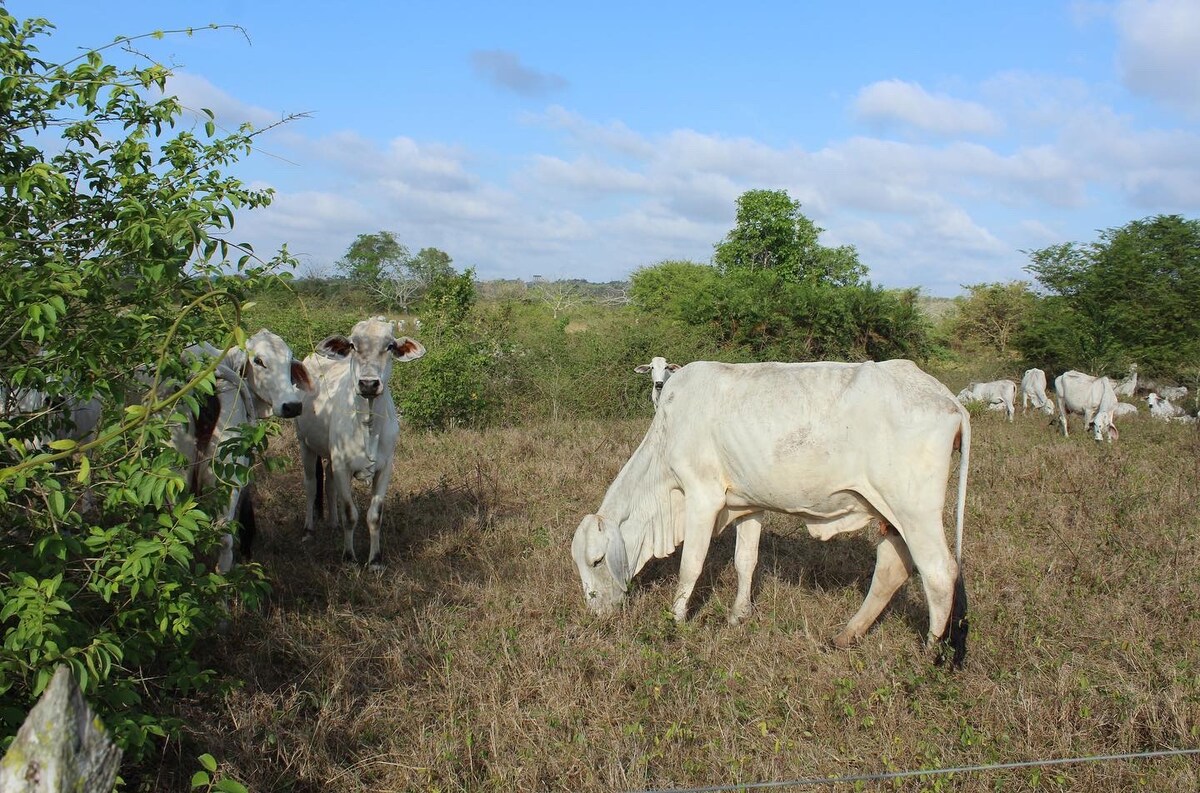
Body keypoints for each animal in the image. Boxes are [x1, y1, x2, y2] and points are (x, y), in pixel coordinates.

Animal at [295, 314, 427, 568]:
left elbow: (375, 515)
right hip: (305, 445)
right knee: (311, 486)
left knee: (329, 484)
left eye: (390, 346)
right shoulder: (342, 465)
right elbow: (350, 513)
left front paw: (375, 560)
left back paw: (333, 524)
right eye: (353, 345)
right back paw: (308, 531)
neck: (368, 424)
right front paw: (349, 557)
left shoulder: (385, 468)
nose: (368, 384)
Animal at [571, 359, 974, 667]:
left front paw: (676, 620)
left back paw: (930, 655)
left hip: (914, 511)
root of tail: (948, 400)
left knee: (940, 573)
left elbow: (691, 566)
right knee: (893, 567)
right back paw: (847, 635)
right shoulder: (748, 505)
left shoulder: (702, 497)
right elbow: (745, 561)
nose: (595, 612)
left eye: (596, 561)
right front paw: (738, 616)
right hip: (890, 514)